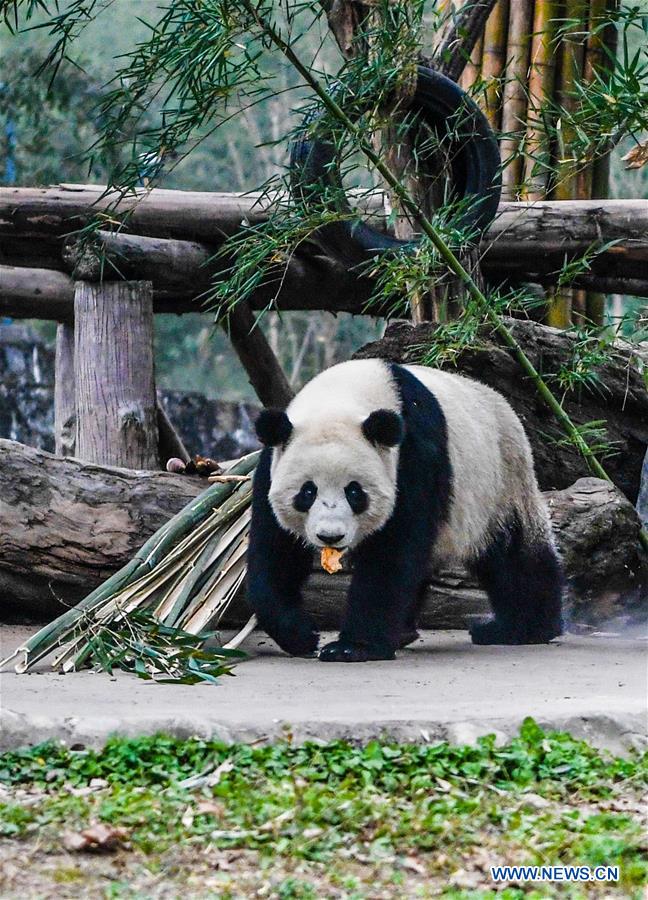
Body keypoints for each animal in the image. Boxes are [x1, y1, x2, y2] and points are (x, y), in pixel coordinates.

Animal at [247, 359, 563, 662]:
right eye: (307, 492)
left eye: (354, 492)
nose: (330, 536)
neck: (342, 396)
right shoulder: (271, 464)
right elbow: (275, 551)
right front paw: (300, 634)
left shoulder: (413, 455)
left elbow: (392, 552)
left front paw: (352, 648)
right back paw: (404, 633)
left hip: (500, 480)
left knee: (513, 553)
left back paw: (520, 627)